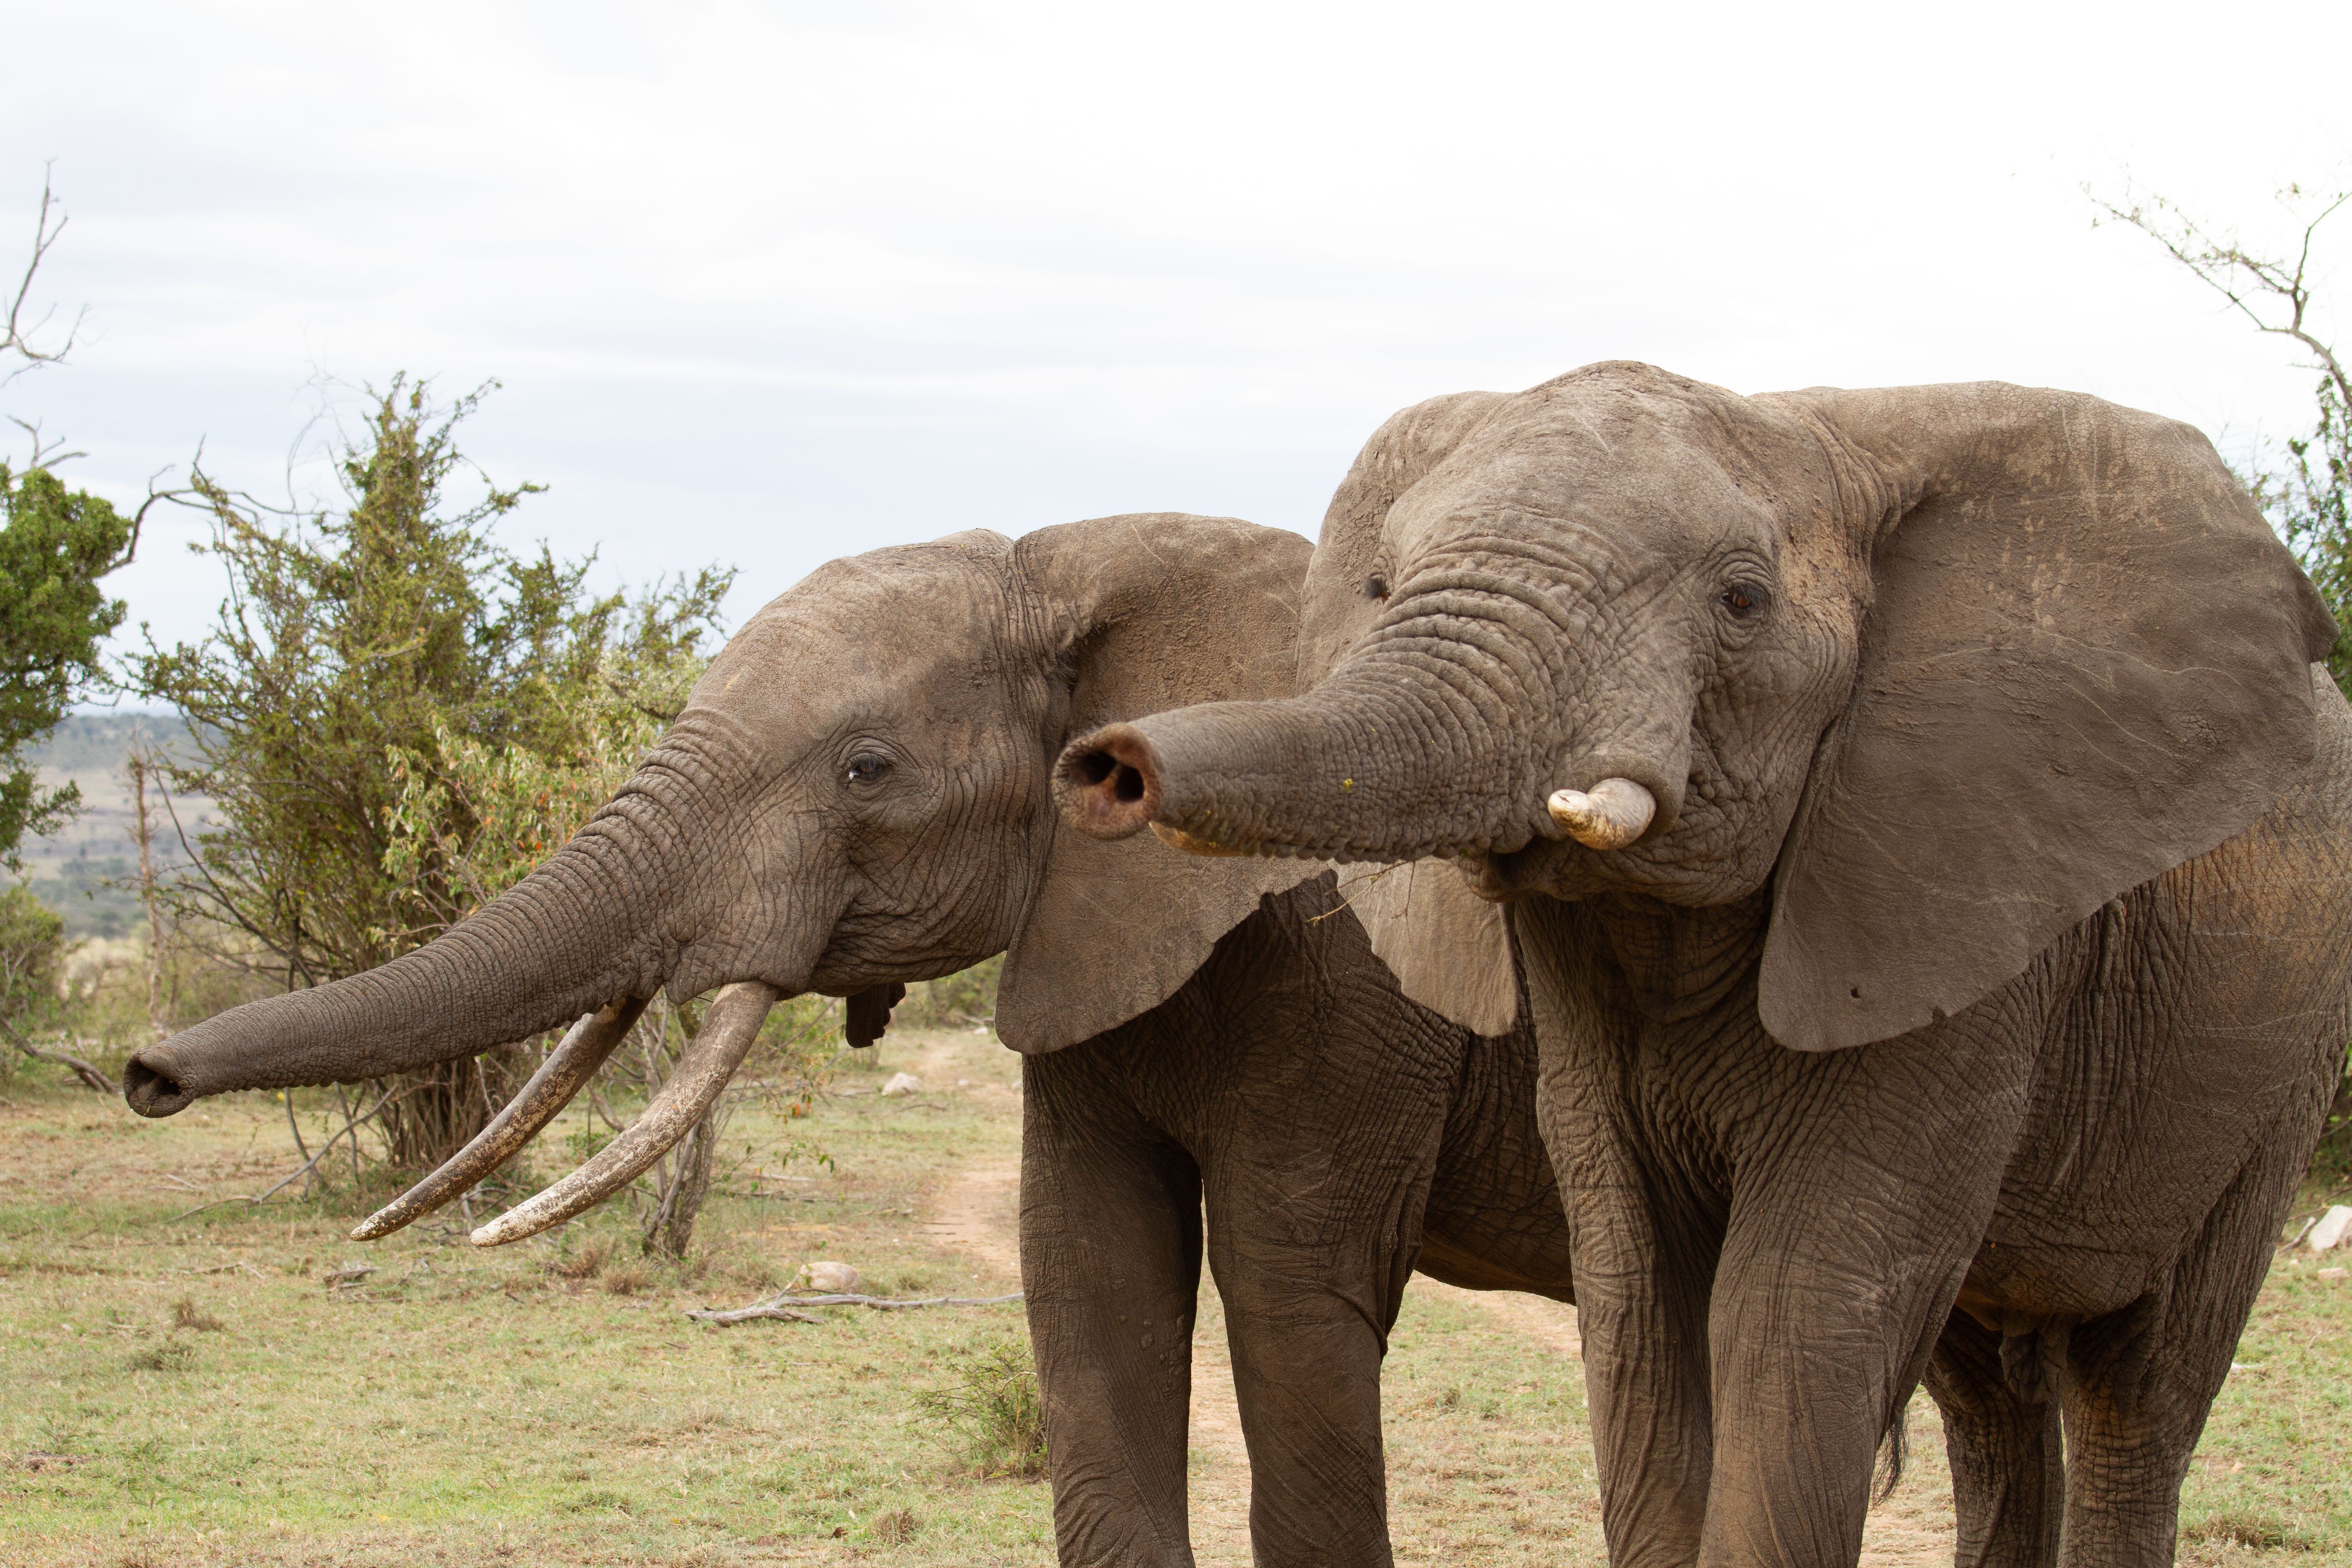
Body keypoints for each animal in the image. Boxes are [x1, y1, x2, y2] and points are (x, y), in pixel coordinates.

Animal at [118, 511, 1574, 1568]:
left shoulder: (1357, 984)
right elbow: (1087, 1274)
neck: (1085, 567)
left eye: (866, 769)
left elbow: (1291, 1301)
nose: (146, 1073)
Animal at [1055, 362, 2352, 1568]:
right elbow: (1640, 1304)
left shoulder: (1948, 883)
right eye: (1379, 587)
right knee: (1986, 1400)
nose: (1108, 768)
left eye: (1741, 599)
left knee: (2139, 1387)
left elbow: (1795, 1307)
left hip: (2276, 1075)